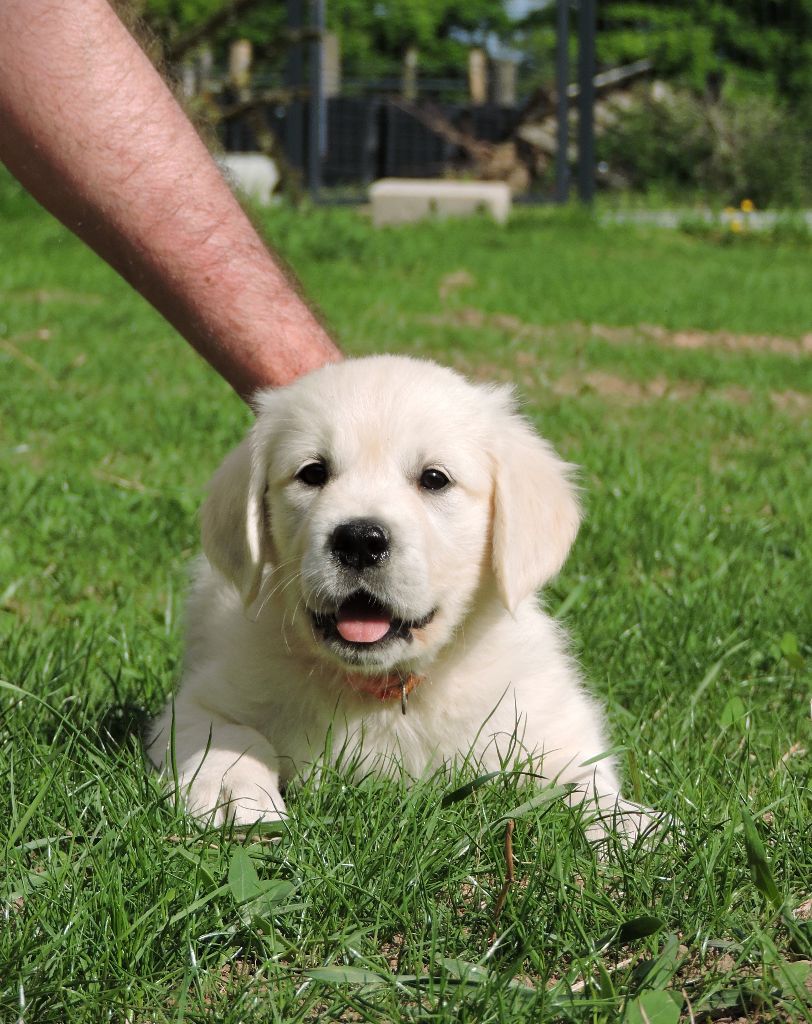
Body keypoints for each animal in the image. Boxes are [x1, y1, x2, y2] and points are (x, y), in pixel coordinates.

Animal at [148, 356, 629, 829]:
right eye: (313, 473)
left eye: (434, 479)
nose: (359, 540)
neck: (384, 688)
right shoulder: (196, 704)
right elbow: (228, 733)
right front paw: (233, 790)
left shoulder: (550, 722)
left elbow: (588, 784)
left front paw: (630, 827)